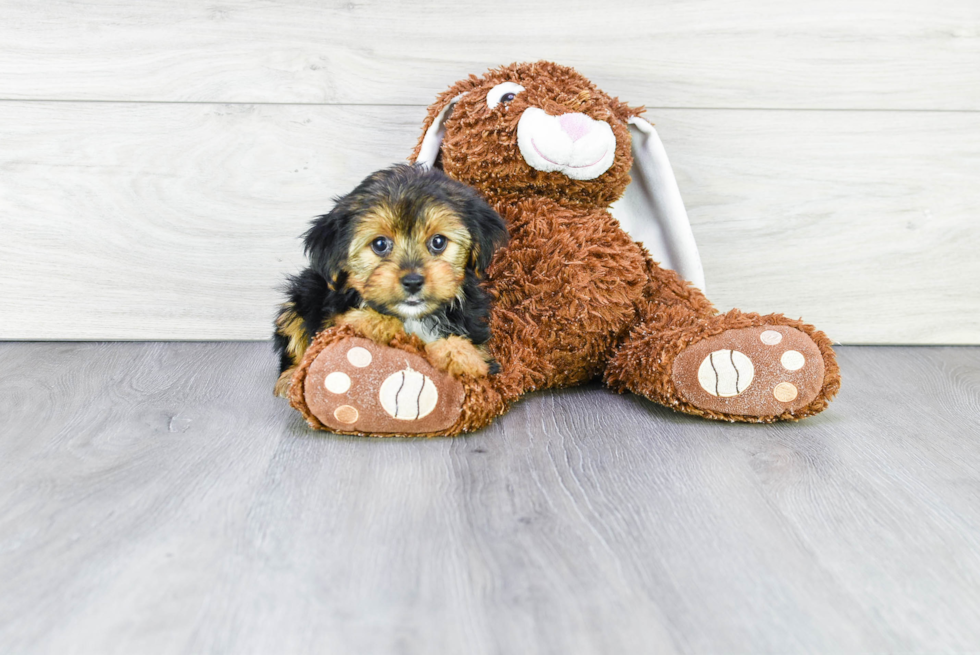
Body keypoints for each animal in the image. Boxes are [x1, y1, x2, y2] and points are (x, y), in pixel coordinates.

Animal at [274, 164, 510, 398]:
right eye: (380, 244)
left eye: (438, 242)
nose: (413, 281)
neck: (414, 317)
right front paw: (379, 324)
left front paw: (463, 355)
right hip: (303, 294)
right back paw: (289, 378)